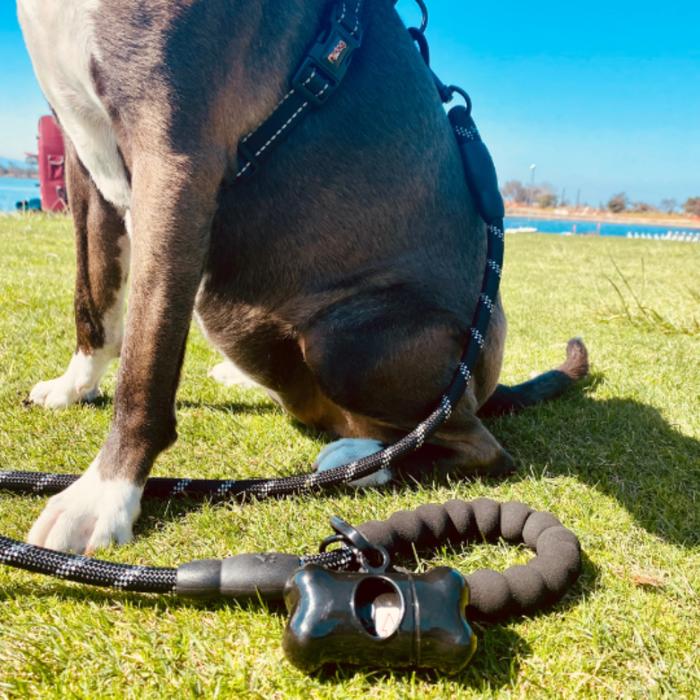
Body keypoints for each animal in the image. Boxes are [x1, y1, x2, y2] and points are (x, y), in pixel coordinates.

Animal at [16, 1, 588, 556]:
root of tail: (484, 386)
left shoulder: (175, 155)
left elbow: (146, 360)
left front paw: (103, 496)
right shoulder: (81, 156)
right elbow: (92, 297)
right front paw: (76, 384)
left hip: (345, 338)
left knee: (479, 447)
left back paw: (364, 464)